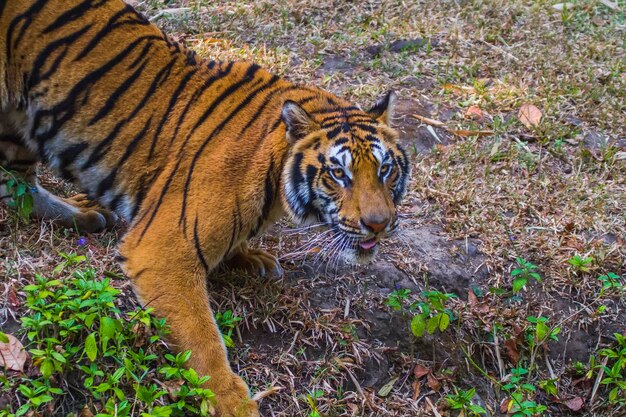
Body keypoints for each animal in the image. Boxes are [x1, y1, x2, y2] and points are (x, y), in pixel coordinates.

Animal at [0, 0, 410, 416]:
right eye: (339, 173)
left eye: (385, 169)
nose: (379, 224)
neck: (275, 177)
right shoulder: (164, 249)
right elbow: (202, 337)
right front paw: (232, 401)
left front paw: (250, 257)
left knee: (16, 186)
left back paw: (83, 215)